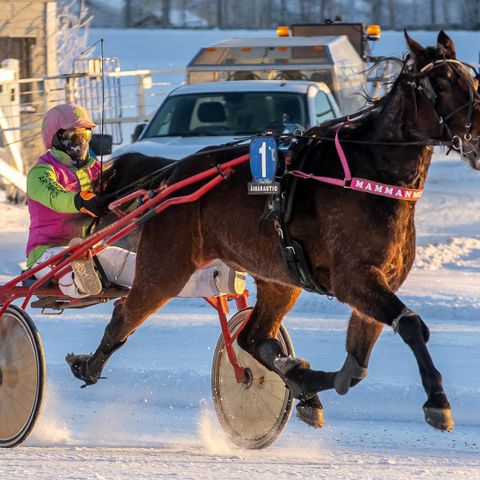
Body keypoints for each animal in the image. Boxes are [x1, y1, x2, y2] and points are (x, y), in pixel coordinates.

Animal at [66, 31, 480, 434]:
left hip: (279, 280)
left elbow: (355, 368)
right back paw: (89, 364)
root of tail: (171, 175)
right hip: (166, 267)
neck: (369, 173)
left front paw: (304, 382)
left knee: (252, 338)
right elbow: (410, 325)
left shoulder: (379, 281)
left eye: (472, 79)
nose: (477, 134)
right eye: (442, 83)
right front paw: (437, 402)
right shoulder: (354, 278)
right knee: (125, 314)